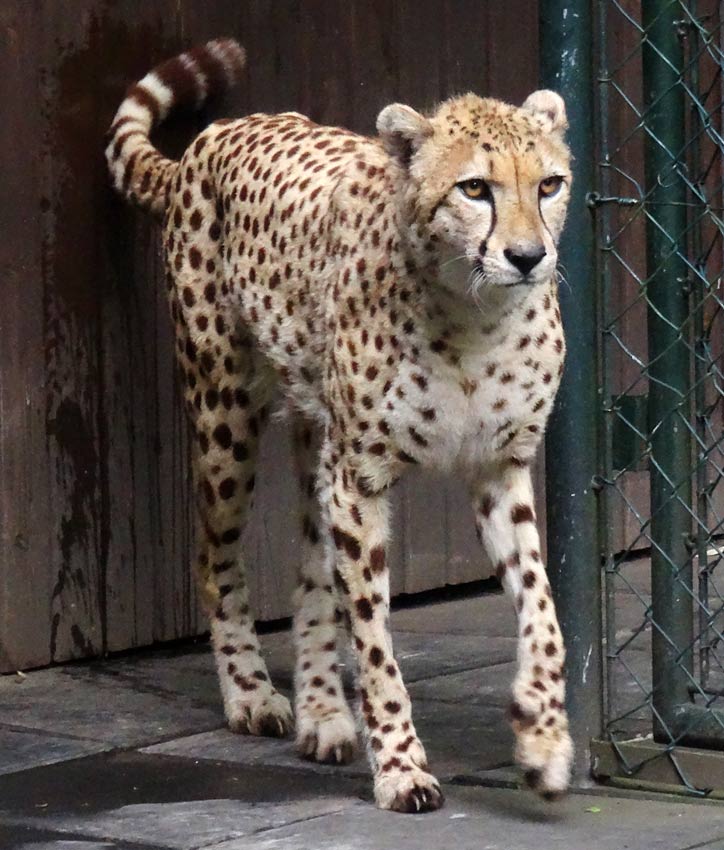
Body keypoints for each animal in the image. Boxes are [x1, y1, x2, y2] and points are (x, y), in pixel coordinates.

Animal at [104, 38, 576, 808]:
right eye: (476, 189)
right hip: (225, 415)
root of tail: (219, 133)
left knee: (309, 575)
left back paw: (323, 713)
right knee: (215, 556)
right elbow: (376, 638)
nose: (528, 256)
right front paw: (403, 766)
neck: (474, 315)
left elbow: (542, 609)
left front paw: (542, 735)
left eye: (550, 185)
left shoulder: (498, 467)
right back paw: (253, 696)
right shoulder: (362, 478)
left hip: (314, 439)